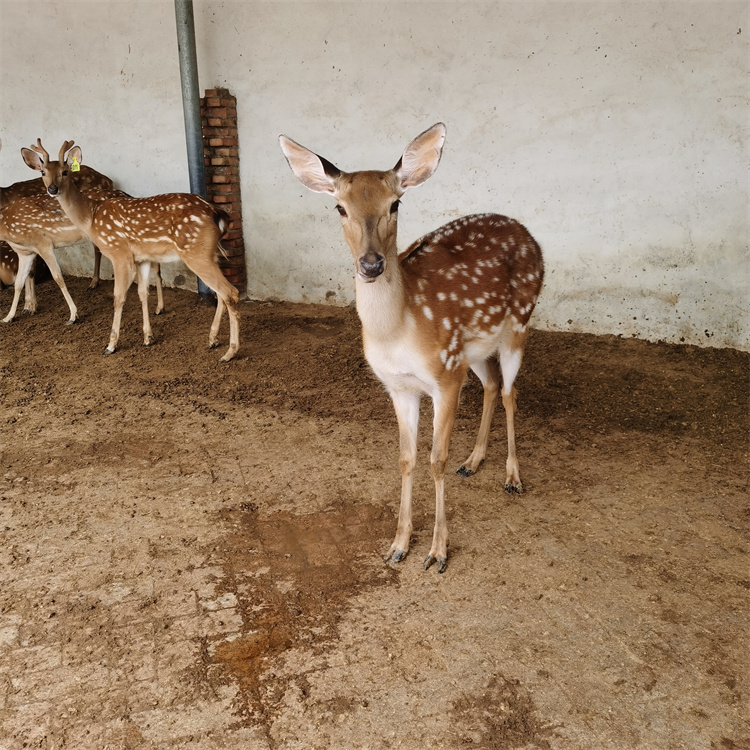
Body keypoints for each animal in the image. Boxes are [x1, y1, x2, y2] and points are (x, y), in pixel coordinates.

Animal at [23, 143, 241, 364]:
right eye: (43, 172)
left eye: (65, 171)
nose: (52, 189)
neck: (91, 218)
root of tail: (218, 214)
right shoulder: (142, 258)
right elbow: (142, 293)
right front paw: (147, 337)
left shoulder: (119, 252)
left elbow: (118, 297)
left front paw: (110, 345)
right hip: (210, 253)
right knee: (221, 293)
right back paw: (213, 339)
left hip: (196, 252)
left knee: (230, 292)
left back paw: (229, 352)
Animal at [282, 123, 548, 572]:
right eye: (339, 208)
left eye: (395, 204)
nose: (371, 264)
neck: (398, 332)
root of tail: (527, 234)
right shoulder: (401, 385)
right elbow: (406, 459)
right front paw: (398, 544)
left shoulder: (444, 379)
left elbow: (435, 460)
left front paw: (438, 551)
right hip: (471, 351)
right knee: (493, 383)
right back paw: (472, 462)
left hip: (518, 322)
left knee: (511, 391)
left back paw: (512, 477)